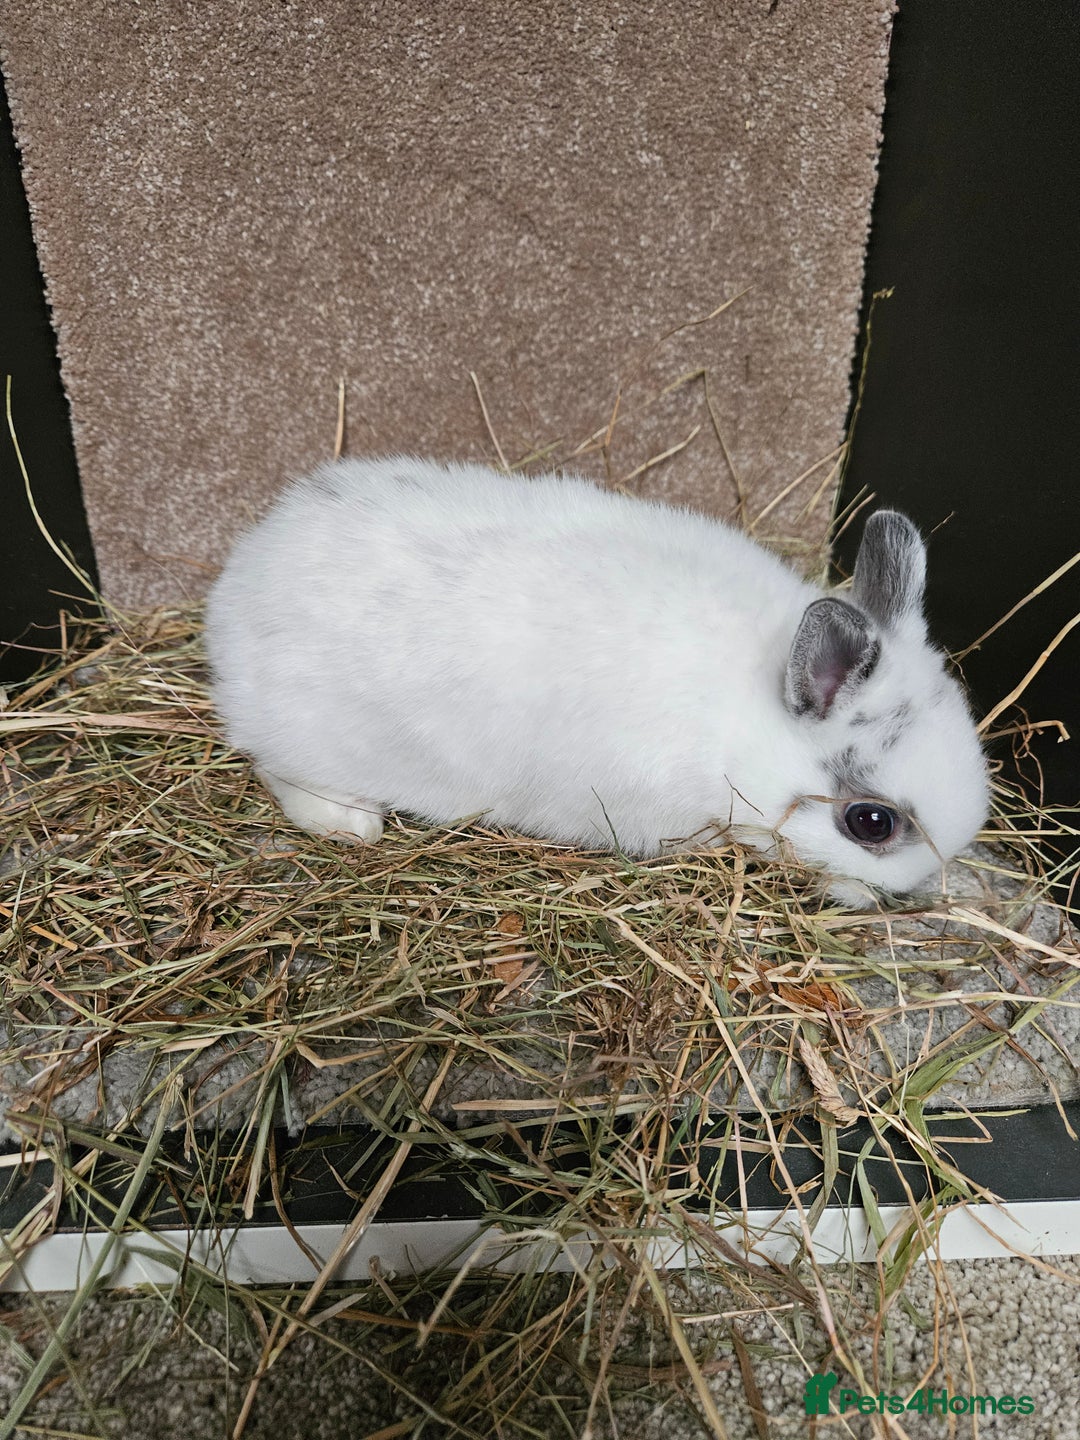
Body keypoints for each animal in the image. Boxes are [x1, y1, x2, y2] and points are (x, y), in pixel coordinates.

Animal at [204, 455, 989, 904]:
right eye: (871, 823)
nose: (914, 889)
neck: (747, 722)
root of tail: (236, 590)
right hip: (314, 743)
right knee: (281, 772)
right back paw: (353, 823)